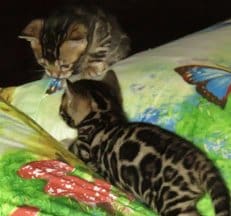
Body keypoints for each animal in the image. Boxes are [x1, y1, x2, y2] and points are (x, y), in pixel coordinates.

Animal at [59, 70, 229, 215]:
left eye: (62, 107)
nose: (59, 111)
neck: (104, 115)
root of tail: (199, 161)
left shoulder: (83, 150)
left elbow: (72, 145)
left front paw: (63, 140)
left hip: (171, 201)